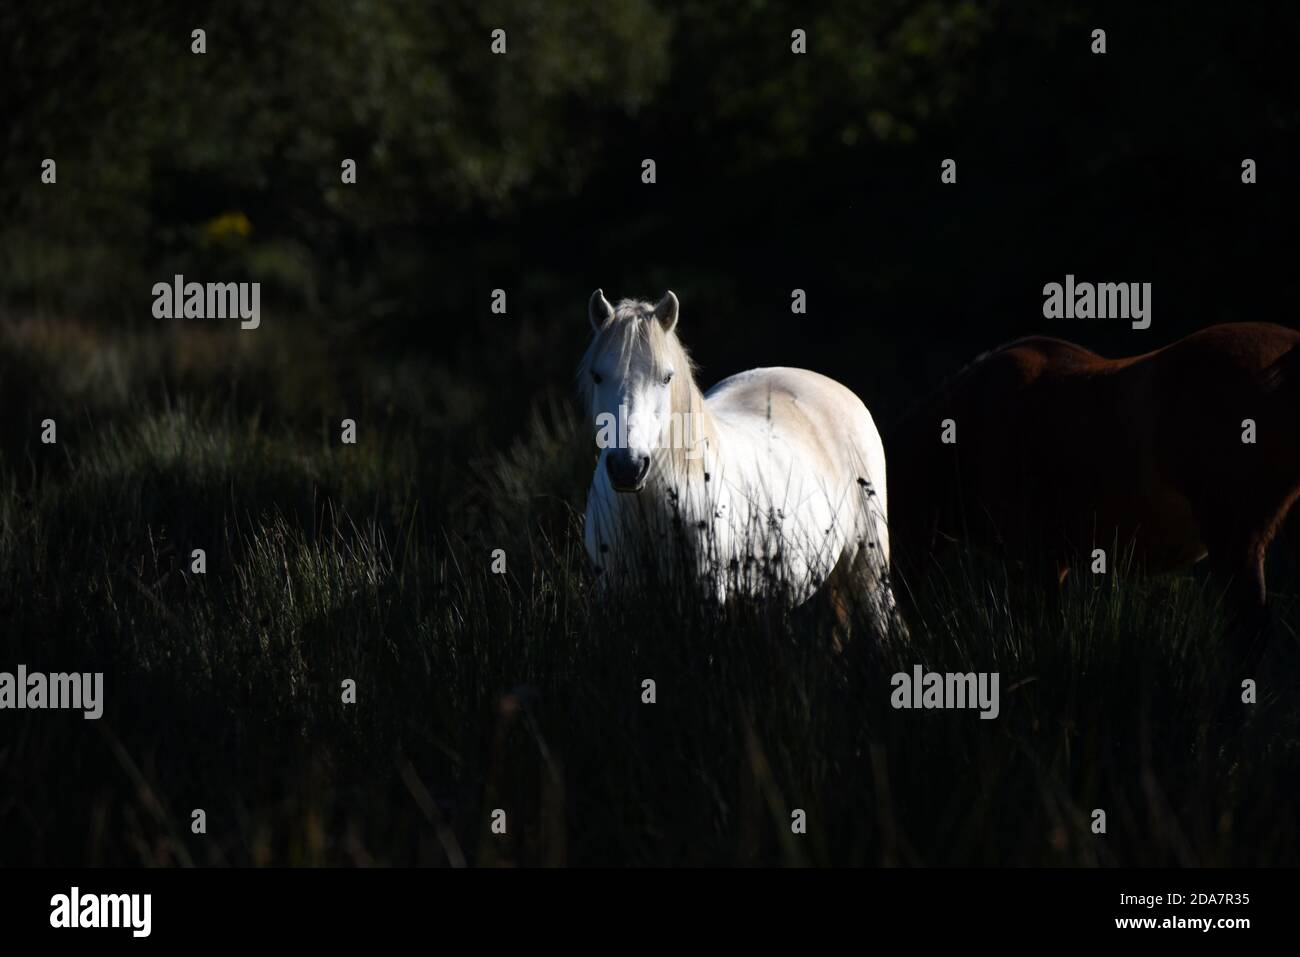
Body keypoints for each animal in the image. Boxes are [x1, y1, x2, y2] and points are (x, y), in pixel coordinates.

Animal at [578, 289, 904, 640]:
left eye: (666, 377)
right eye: (597, 375)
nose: (629, 467)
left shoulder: (707, 595)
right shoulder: (612, 594)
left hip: (869, 568)